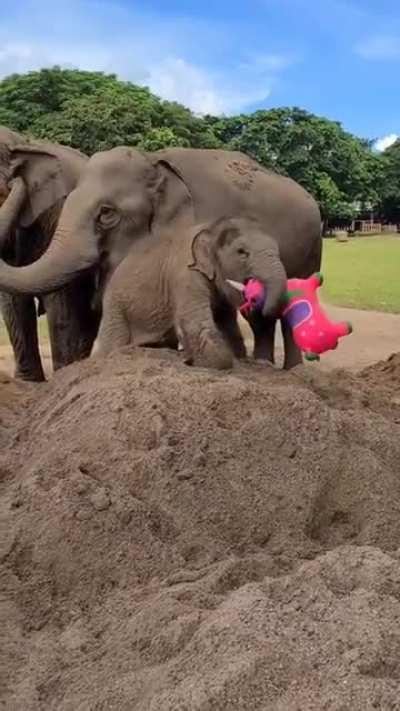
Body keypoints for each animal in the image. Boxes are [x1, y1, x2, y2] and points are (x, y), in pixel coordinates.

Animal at [0, 127, 100, 381]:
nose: (14, 180)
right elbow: (13, 301)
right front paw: (28, 382)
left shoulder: (57, 212)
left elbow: (59, 298)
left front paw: (62, 378)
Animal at [97, 217, 288, 369]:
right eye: (242, 252)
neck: (211, 228)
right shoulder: (185, 275)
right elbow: (196, 324)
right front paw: (190, 360)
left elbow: (226, 322)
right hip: (114, 305)